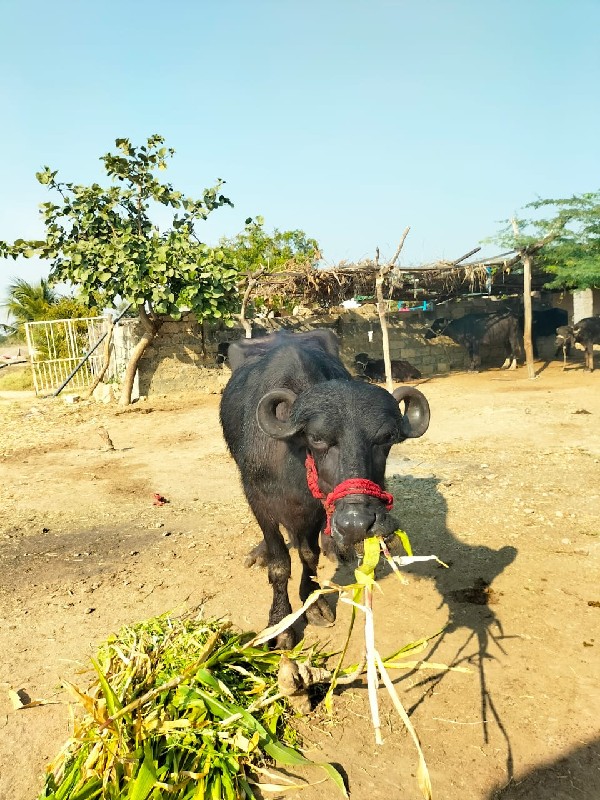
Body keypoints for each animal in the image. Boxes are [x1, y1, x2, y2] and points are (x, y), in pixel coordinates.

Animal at [218, 328, 428, 648]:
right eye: (316, 438)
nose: (356, 523)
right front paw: (280, 624)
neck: (293, 457)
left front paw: (313, 603)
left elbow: (309, 555)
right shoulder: (259, 499)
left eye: (387, 437)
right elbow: (280, 564)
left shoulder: (318, 508)